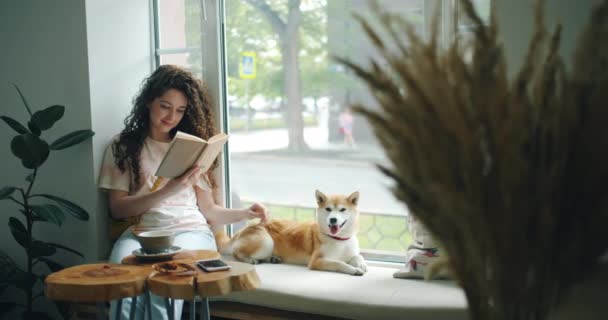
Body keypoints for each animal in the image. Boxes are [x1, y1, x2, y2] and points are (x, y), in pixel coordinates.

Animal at [216, 190, 368, 276]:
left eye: (342, 210)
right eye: (328, 209)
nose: (333, 219)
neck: (339, 239)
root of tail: (249, 225)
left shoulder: (351, 252)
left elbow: (358, 257)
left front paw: (360, 264)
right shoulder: (317, 261)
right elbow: (339, 264)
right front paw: (354, 269)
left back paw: (272, 259)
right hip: (266, 242)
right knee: (236, 253)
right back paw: (250, 259)